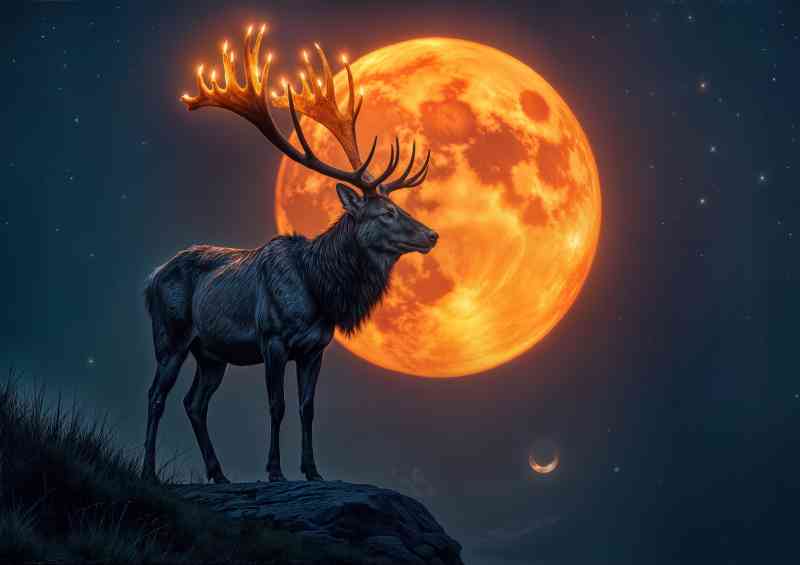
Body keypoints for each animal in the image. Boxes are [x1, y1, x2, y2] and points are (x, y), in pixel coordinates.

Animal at [141, 23, 437, 484]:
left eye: (401, 207)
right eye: (386, 212)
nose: (432, 235)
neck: (319, 291)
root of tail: (152, 277)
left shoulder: (315, 348)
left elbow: (307, 408)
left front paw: (312, 471)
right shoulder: (273, 338)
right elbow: (277, 406)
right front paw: (275, 471)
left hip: (211, 353)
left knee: (194, 402)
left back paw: (219, 474)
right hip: (169, 335)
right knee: (156, 395)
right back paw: (150, 472)